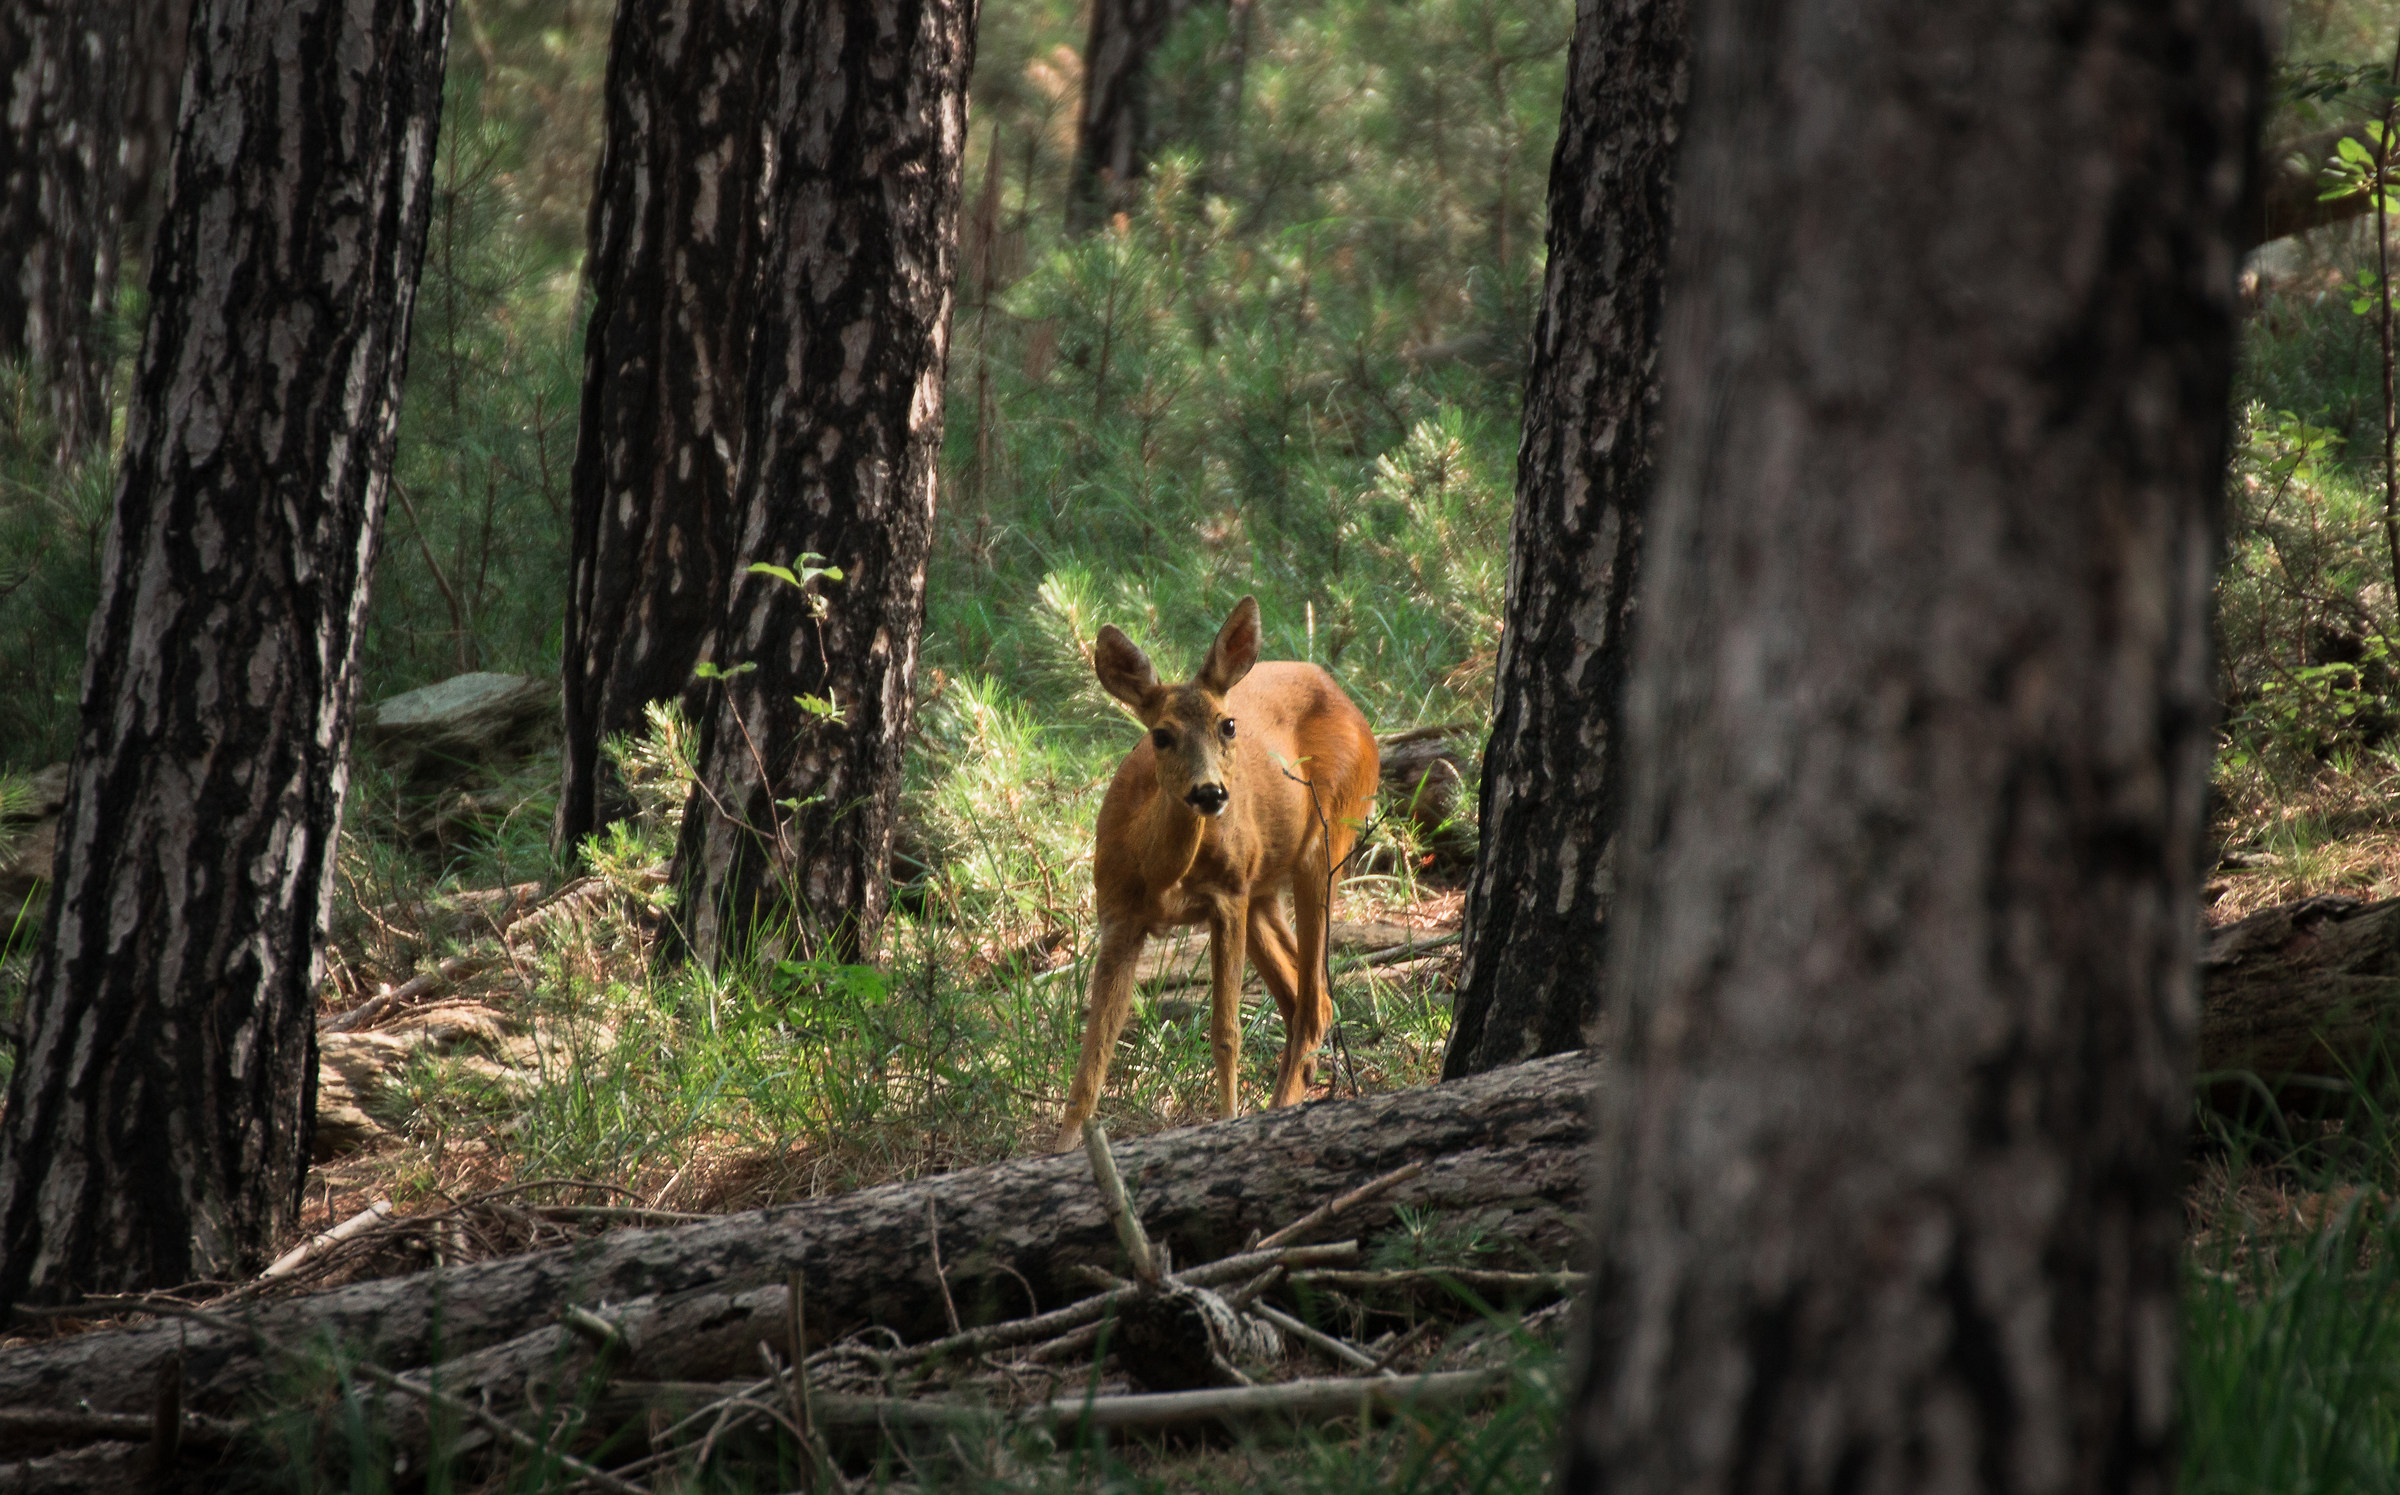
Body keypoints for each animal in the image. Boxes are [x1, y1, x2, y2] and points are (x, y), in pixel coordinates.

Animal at [1053, 596, 1380, 1152]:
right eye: (1161, 735)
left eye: (1228, 725)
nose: (1210, 793)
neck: (1161, 877)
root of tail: (1350, 703)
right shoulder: (1118, 915)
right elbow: (1091, 1057)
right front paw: (1062, 1150)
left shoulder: (1226, 896)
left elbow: (1226, 1034)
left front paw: (1226, 1120)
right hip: (1262, 885)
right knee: (1305, 996)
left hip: (1328, 836)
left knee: (1313, 999)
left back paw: (1278, 1107)